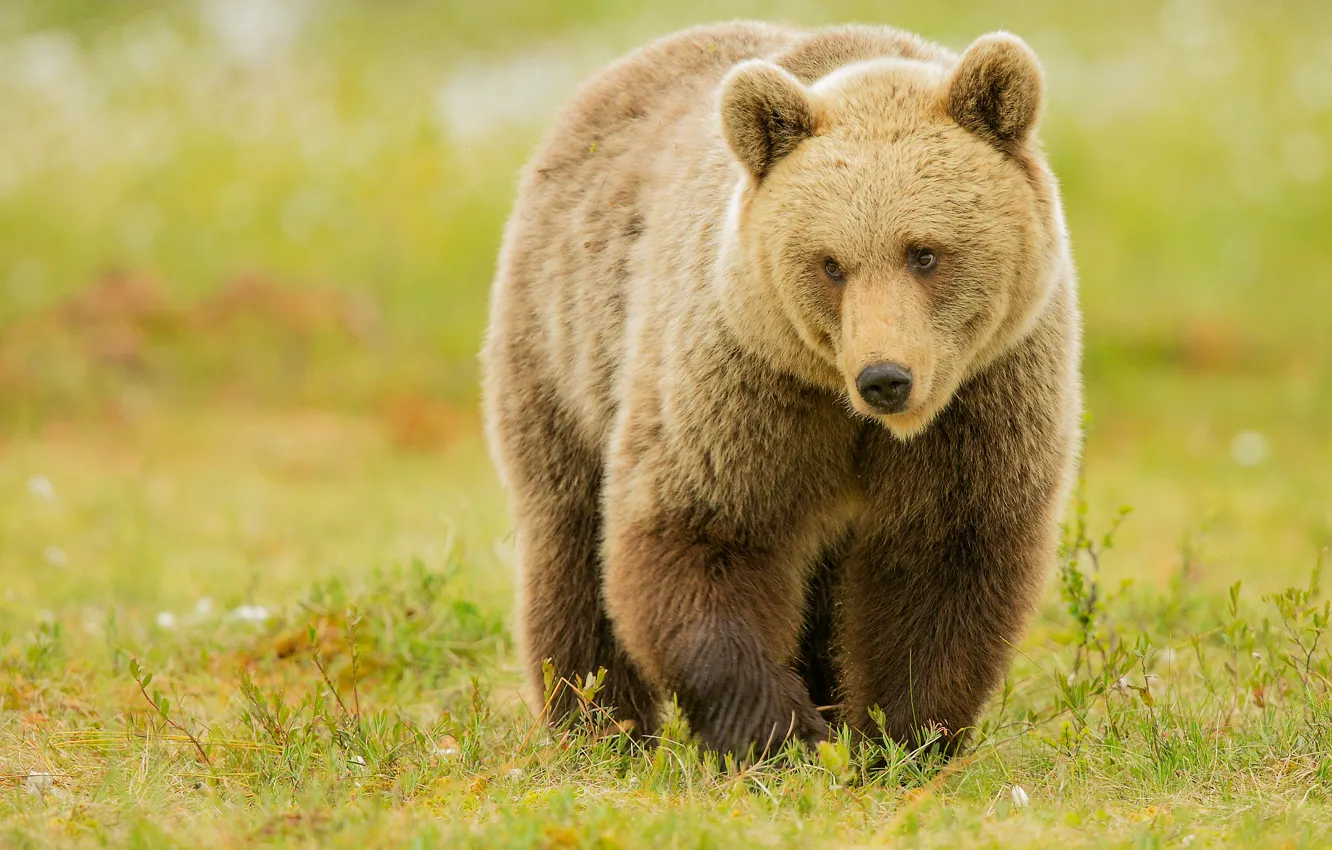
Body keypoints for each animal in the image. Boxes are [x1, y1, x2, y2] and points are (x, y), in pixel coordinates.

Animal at [481, 20, 1081, 759]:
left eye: (926, 253)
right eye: (830, 264)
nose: (885, 378)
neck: (851, 414)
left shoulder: (984, 400)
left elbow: (945, 563)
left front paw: (899, 738)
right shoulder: (745, 382)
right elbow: (702, 533)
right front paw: (783, 734)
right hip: (564, 347)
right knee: (569, 544)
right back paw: (597, 728)